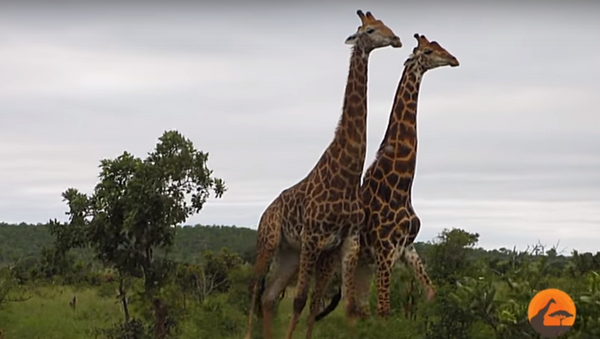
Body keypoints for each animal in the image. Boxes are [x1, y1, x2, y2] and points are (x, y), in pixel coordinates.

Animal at [244, 9, 404, 339]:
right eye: (370, 30)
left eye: (385, 24)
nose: (396, 39)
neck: (347, 176)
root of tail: (266, 211)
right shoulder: (313, 239)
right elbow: (300, 301)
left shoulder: (346, 243)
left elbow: (336, 305)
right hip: (268, 242)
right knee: (254, 288)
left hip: (289, 253)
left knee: (269, 297)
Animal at [310, 32, 460, 322]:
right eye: (428, 51)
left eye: (438, 46)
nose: (453, 59)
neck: (401, 187)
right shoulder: (384, 253)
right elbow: (384, 310)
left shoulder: (406, 249)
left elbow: (431, 294)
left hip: (362, 265)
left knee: (356, 308)